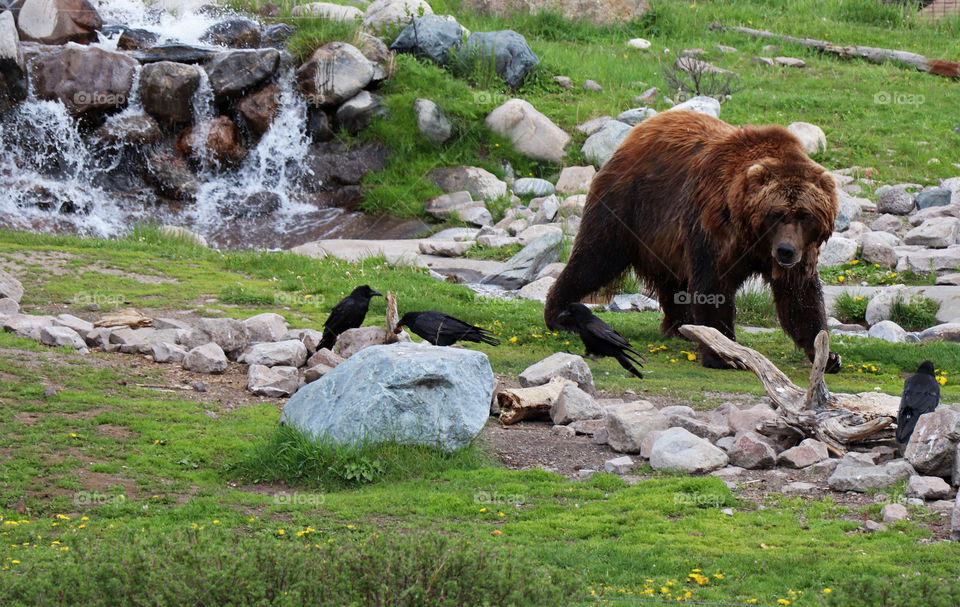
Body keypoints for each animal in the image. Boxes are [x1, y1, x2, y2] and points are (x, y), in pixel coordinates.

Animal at [548, 111, 840, 372]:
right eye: (776, 213)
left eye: (804, 215)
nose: (786, 251)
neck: (753, 237)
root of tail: (636, 133)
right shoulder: (715, 226)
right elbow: (713, 284)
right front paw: (722, 354)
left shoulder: (801, 250)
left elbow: (800, 295)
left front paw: (827, 355)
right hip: (627, 205)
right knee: (595, 258)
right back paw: (560, 315)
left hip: (664, 237)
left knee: (672, 281)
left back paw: (681, 327)